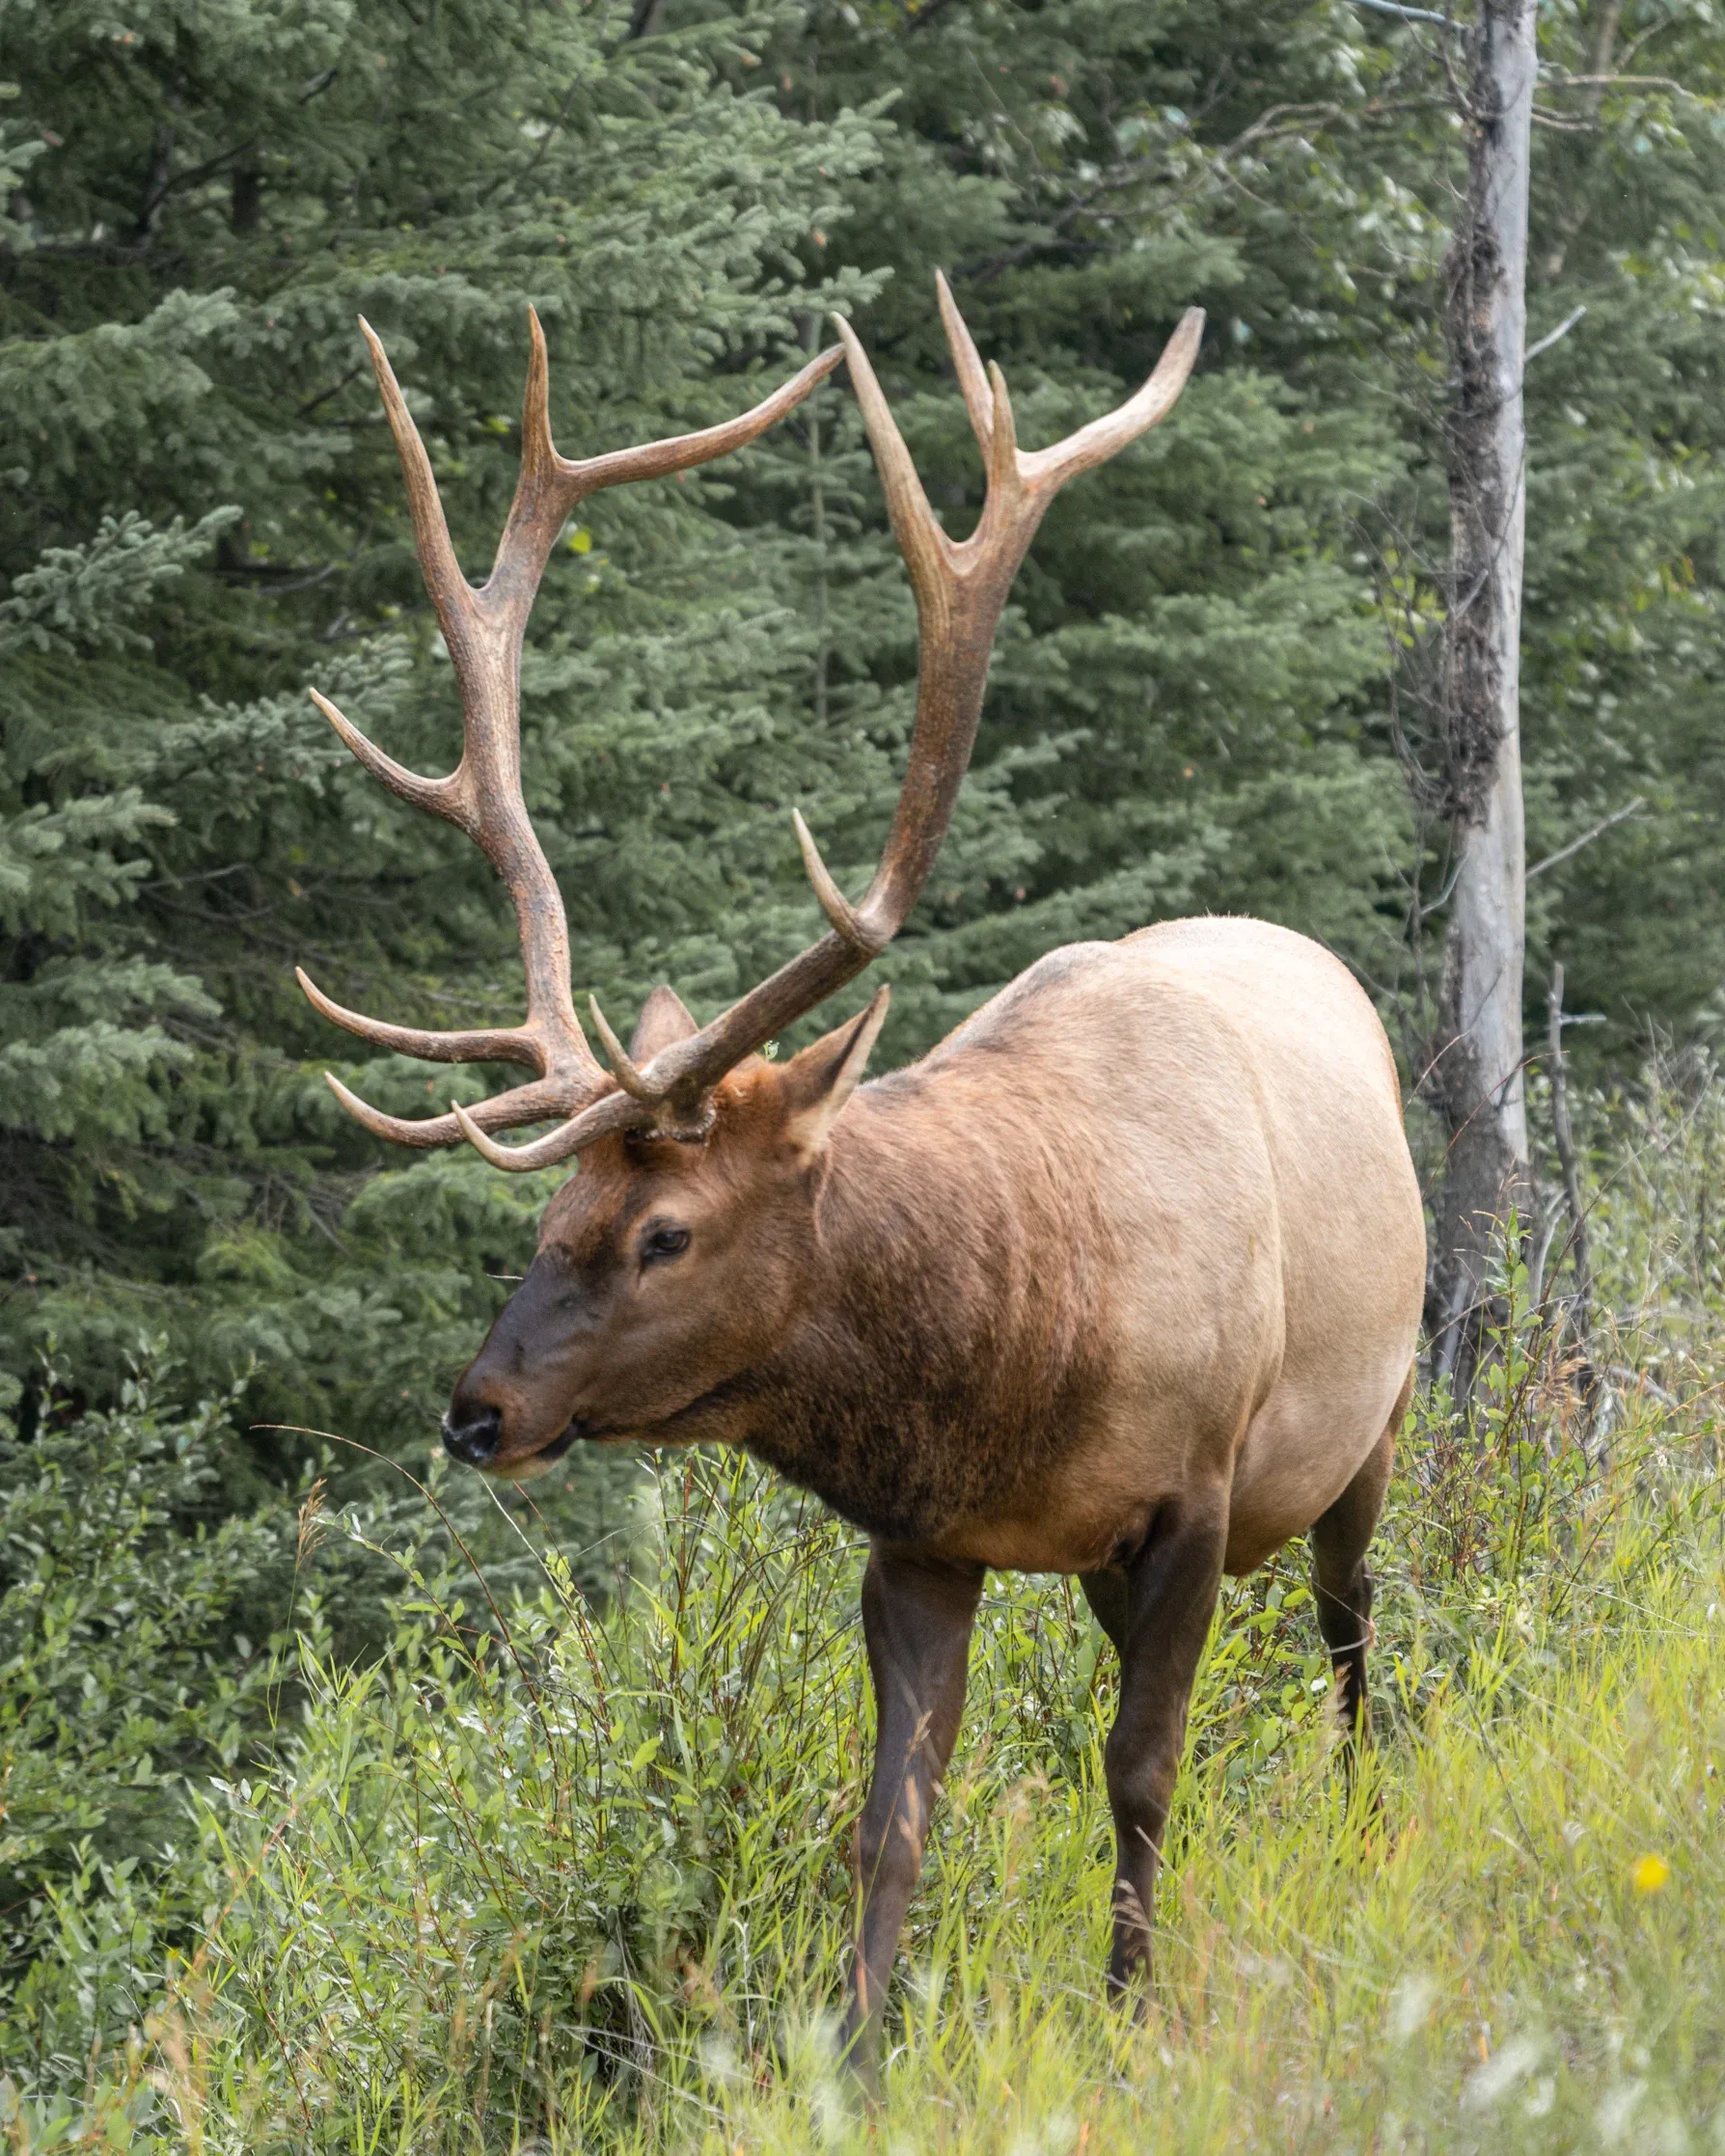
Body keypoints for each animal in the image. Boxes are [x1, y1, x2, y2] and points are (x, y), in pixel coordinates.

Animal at [295, 283, 1427, 2093]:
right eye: (545, 1221)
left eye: (666, 1231)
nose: (476, 1412)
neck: (1021, 1363)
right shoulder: (921, 1539)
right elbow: (887, 1821)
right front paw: (856, 2051)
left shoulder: (1192, 1487)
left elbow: (1141, 1767)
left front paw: (1129, 2007)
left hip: (1366, 1421)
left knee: (1350, 1620)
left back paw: (1363, 1798)